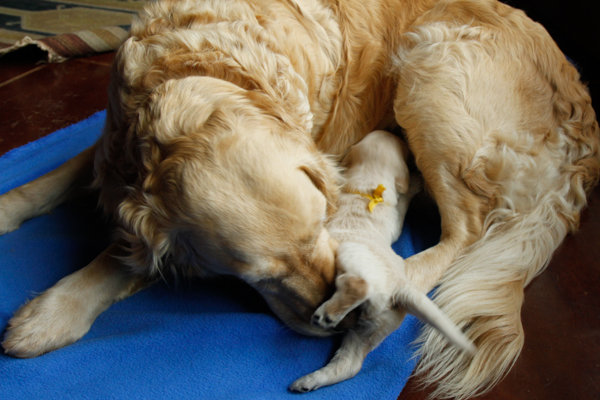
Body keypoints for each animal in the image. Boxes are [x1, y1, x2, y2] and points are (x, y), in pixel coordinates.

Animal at [290, 130, 476, 392]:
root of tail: (401, 285)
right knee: (350, 365)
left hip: (352, 258)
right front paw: (416, 182)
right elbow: (402, 202)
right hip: (373, 327)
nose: (395, 130)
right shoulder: (395, 218)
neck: (369, 188)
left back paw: (327, 314)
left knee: (358, 285)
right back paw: (307, 382)